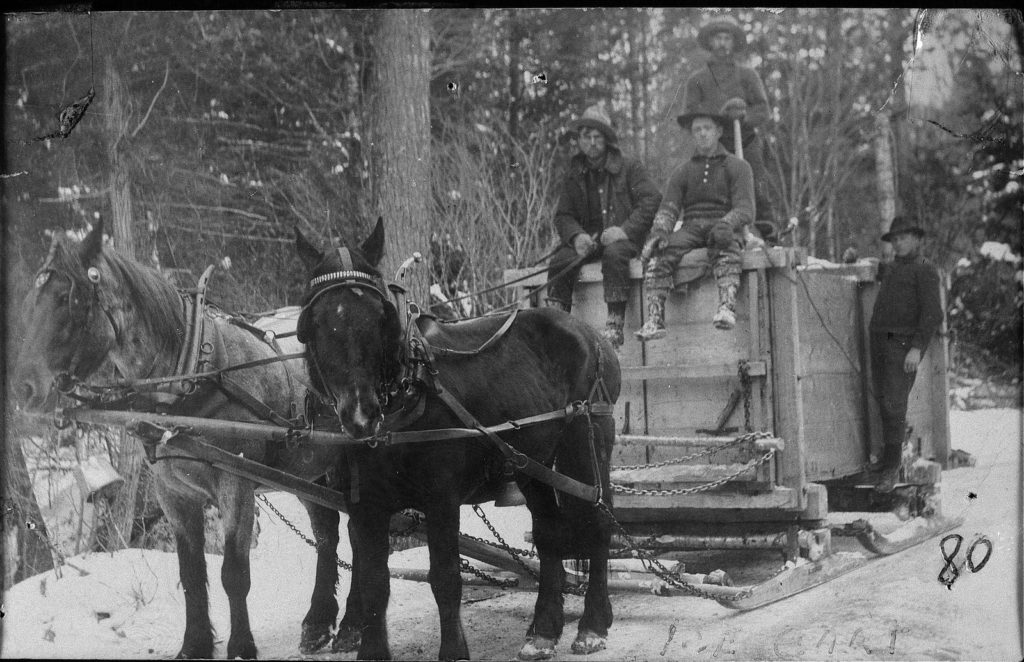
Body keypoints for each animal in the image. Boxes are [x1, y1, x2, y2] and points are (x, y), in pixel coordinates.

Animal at [11, 220, 352, 659]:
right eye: (30, 302)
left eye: (70, 299)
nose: (24, 388)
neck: (192, 375)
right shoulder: (173, 492)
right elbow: (191, 574)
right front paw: (194, 644)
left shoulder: (235, 484)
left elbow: (233, 572)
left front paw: (241, 646)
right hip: (308, 471)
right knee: (326, 532)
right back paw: (318, 623)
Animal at [292, 220, 618, 659]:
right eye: (315, 320)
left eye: (380, 317)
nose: (360, 415)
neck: (404, 396)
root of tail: (590, 333)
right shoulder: (364, 506)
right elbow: (375, 582)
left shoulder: (441, 499)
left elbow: (445, 579)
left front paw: (453, 650)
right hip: (530, 463)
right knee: (549, 532)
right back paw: (543, 631)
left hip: (587, 446)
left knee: (598, 524)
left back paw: (593, 625)